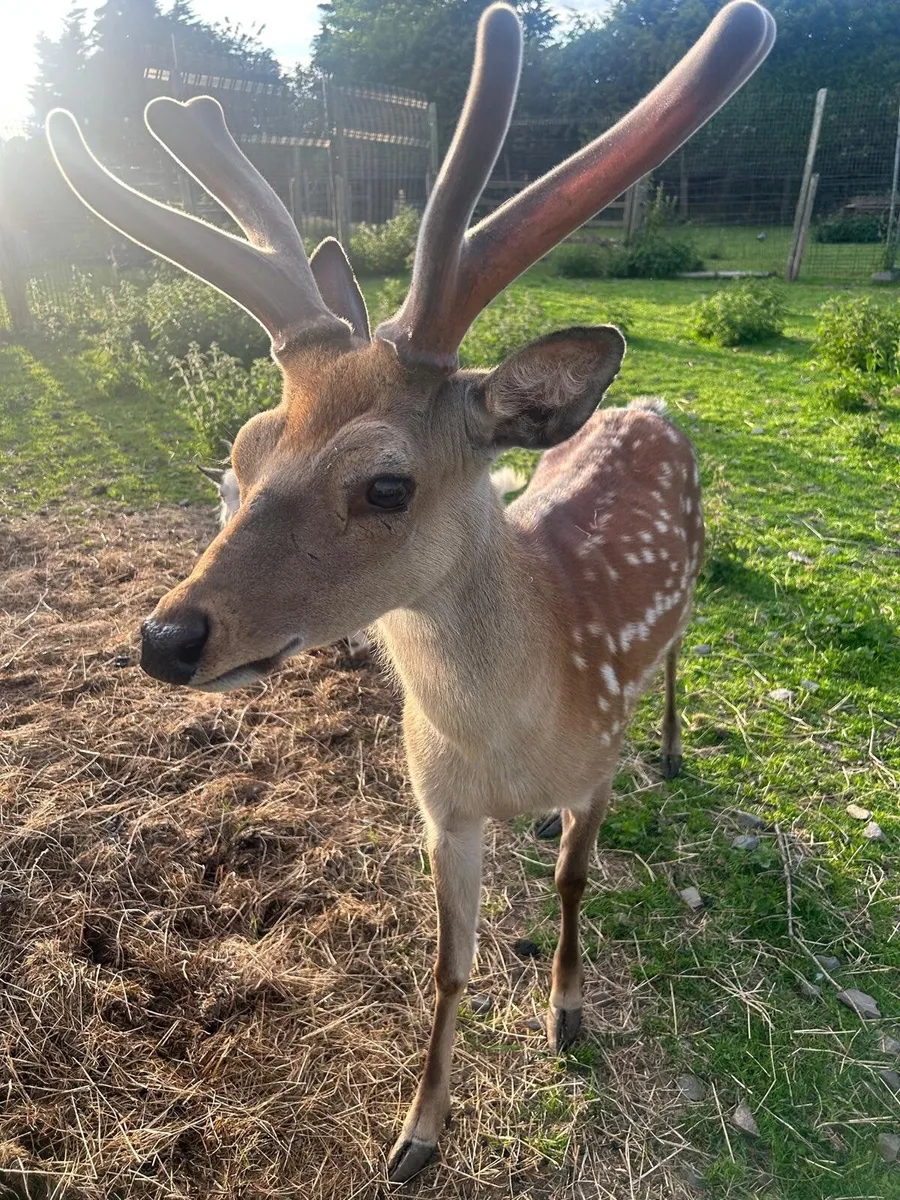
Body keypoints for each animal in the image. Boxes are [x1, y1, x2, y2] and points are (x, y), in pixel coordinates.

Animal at [47, 0, 774, 1181]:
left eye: (387, 483)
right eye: (241, 456)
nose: (165, 636)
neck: (513, 739)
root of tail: (648, 401)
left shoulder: (597, 761)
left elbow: (574, 886)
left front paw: (568, 1014)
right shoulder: (438, 805)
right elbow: (448, 966)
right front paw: (416, 1135)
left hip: (694, 588)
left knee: (677, 660)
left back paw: (671, 747)